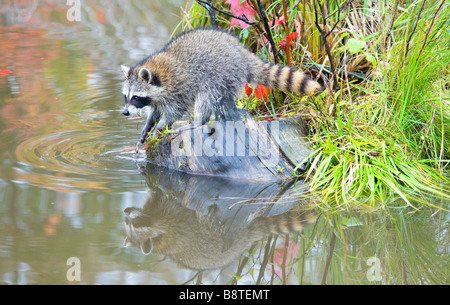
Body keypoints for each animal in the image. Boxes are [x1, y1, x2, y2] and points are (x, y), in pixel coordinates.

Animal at [121, 28, 322, 142]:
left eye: (135, 97)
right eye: (126, 97)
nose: (125, 112)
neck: (158, 71)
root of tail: (241, 54)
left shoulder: (178, 88)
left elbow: (174, 111)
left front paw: (160, 126)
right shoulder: (157, 97)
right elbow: (155, 110)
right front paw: (148, 124)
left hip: (221, 75)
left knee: (205, 97)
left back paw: (197, 122)